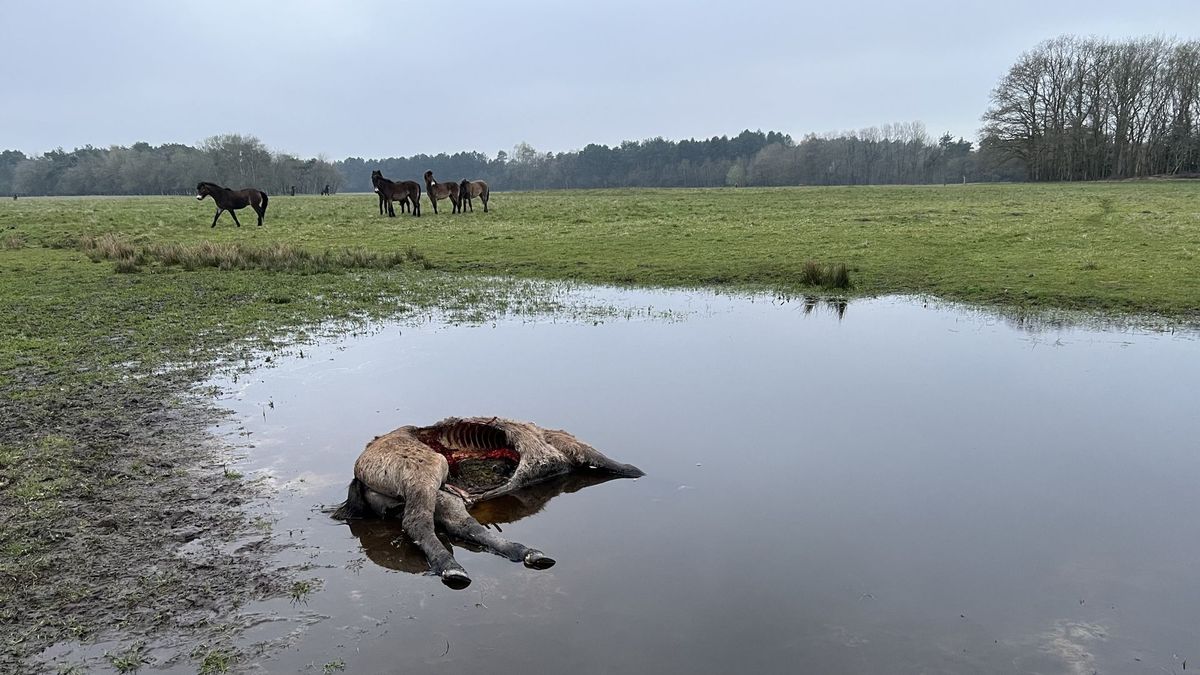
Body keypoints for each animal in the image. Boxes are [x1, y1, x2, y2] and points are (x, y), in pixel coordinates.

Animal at [332, 416, 644, 588]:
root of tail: (359, 471)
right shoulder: (566, 442)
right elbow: (617, 464)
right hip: (427, 471)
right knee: (417, 522)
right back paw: (451, 569)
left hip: (444, 495)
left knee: (465, 526)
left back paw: (527, 553)